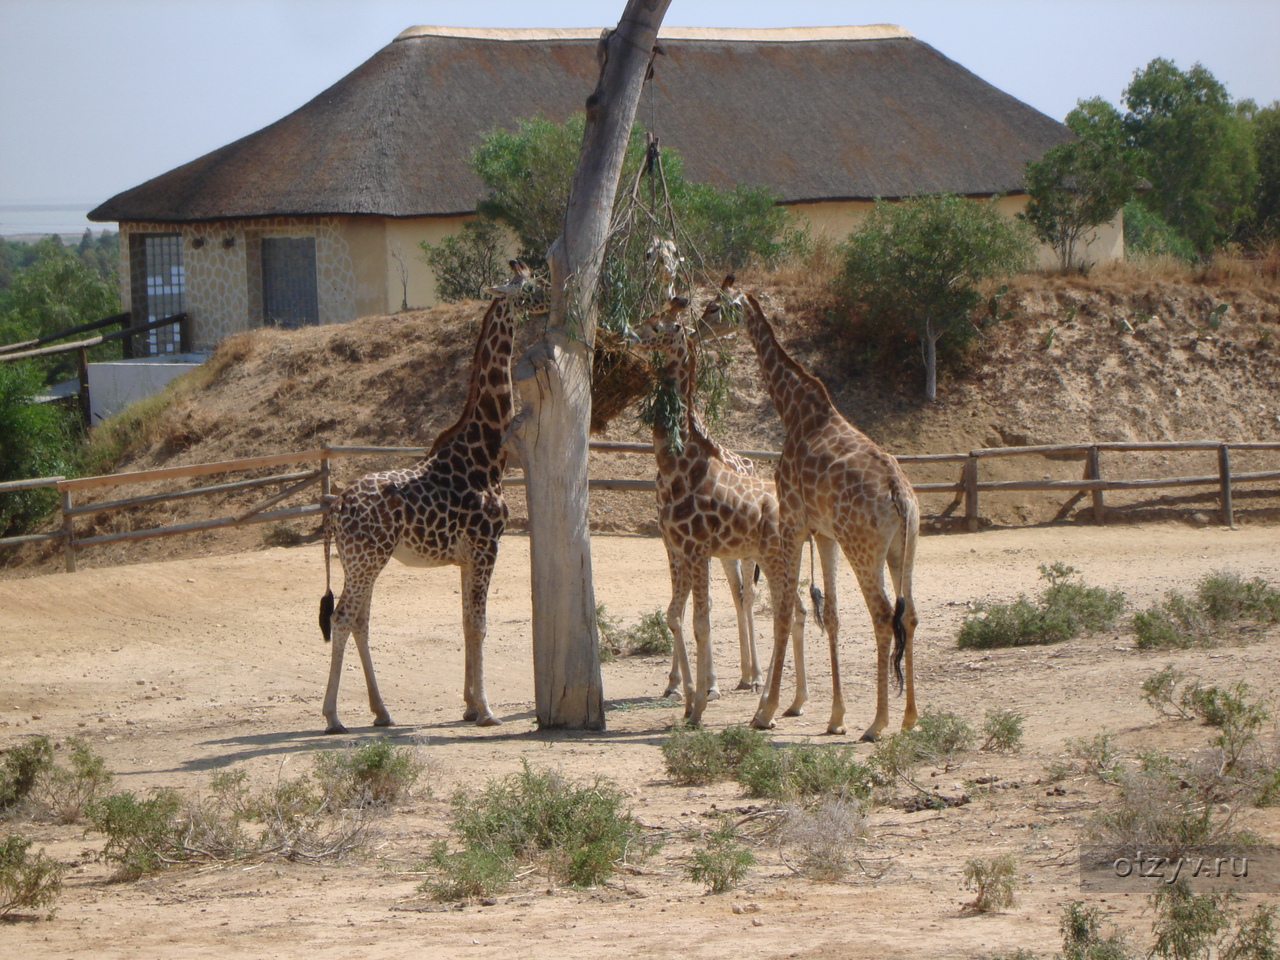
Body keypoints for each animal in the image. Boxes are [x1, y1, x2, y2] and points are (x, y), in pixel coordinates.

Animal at [318, 259, 535, 732]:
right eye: (529, 286)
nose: (550, 297)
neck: (487, 454)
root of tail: (336, 507)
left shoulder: (468, 555)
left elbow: (467, 622)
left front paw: (470, 705)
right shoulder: (486, 545)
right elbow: (480, 624)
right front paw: (487, 711)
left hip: (355, 561)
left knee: (359, 619)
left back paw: (382, 712)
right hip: (368, 559)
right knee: (343, 616)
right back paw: (333, 717)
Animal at [634, 296, 803, 727]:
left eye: (663, 326)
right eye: (648, 317)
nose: (631, 335)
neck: (679, 465)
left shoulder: (697, 548)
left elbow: (701, 620)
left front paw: (702, 701)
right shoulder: (676, 546)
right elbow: (675, 615)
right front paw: (684, 694)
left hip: (767, 557)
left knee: (773, 608)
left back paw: (764, 698)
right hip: (768, 557)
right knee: (793, 610)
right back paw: (792, 701)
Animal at [701, 277, 921, 742]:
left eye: (713, 307)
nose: (695, 328)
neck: (794, 410)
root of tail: (899, 495)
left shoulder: (794, 521)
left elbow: (786, 609)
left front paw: (766, 710)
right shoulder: (823, 532)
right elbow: (830, 616)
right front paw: (834, 716)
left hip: (864, 548)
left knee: (882, 615)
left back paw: (877, 723)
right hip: (902, 548)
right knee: (908, 615)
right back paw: (910, 717)